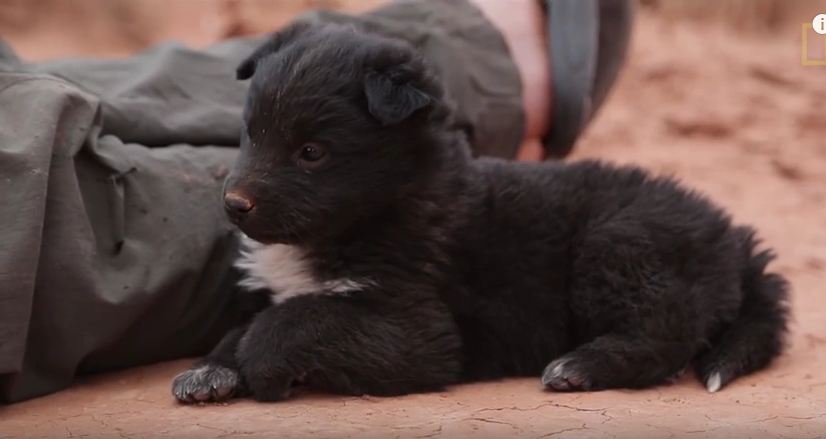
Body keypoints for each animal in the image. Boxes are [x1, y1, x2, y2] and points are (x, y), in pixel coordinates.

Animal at [171, 22, 788, 404]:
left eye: (311, 152)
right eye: (251, 133)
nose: (233, 205)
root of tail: (732, 237)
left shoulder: (418, 329)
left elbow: (299, 317)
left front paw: (259, 363)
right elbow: (259, 318)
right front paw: (211, 368)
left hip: (620, 244)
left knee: (667, 332)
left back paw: (581, 366)